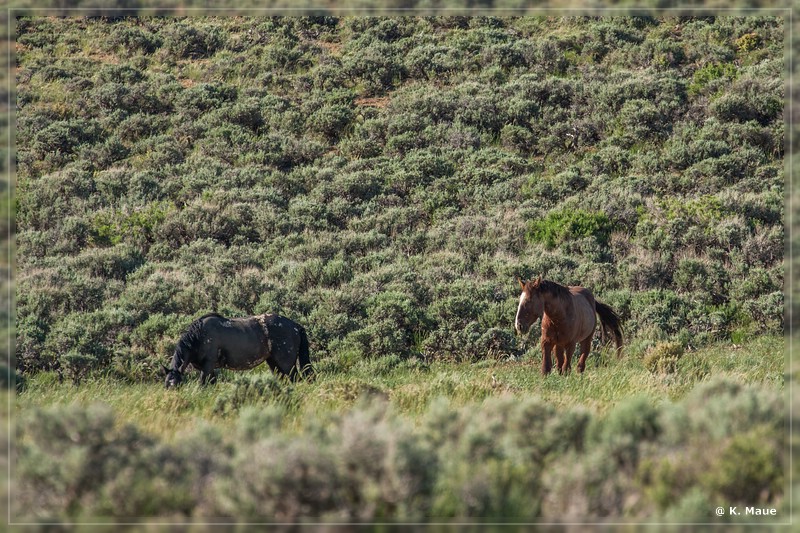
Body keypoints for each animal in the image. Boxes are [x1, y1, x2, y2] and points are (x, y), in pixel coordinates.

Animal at [162, 312, 312, 386]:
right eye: (166, 385)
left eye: (176, 384)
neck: (198, 336)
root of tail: (295, 326)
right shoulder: (210, 369)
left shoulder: (207, 366)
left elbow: (202, 384)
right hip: (274, 364)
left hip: (287, 364)